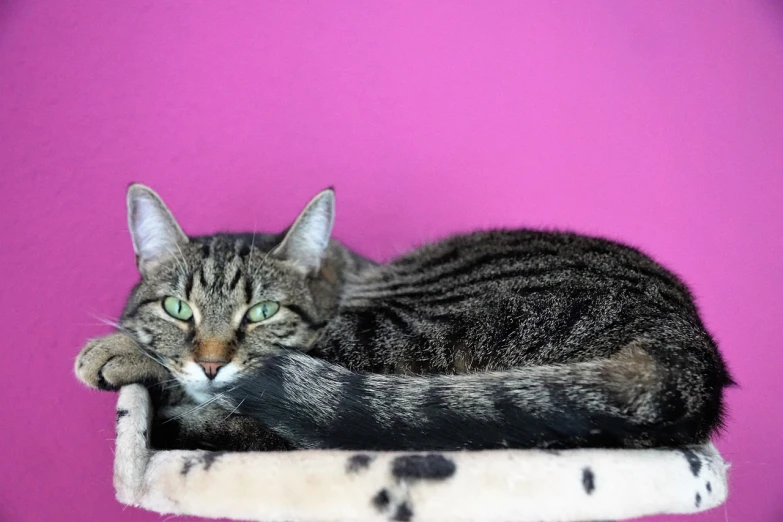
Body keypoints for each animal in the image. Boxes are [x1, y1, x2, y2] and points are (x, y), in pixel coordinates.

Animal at [75, 185, 736, 448]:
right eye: (177, 307)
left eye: (261, 311)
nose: (211, 361)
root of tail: (688, 352)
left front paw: (118, 350)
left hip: (404, 324)